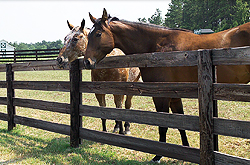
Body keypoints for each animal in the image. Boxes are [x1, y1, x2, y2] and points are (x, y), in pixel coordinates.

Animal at [83, 8, 250, 162]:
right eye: (88, 35)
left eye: (98, 34)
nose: (86, 62)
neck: (157, 46)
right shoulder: (174, 95)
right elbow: (180, 123)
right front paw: (185, 150)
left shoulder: (161, 95)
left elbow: (163, 125)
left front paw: (158, 155)